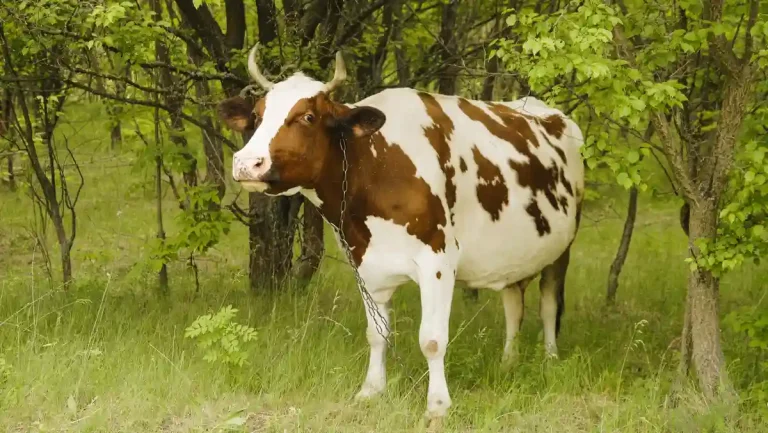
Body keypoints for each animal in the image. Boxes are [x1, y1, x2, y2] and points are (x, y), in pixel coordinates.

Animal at [217, 45, 585, 420]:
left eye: (307, 117)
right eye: (258, 115)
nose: (246, 163)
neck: (375, 166)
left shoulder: (439, 261)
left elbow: (432, 340)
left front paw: (437, 406)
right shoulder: (365, 263)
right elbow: (377, 334)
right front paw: (371, 391)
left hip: (562, 245)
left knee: (549, 304)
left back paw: (550, 360)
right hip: (513, 253)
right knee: (513, 302)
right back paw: (508, 362)